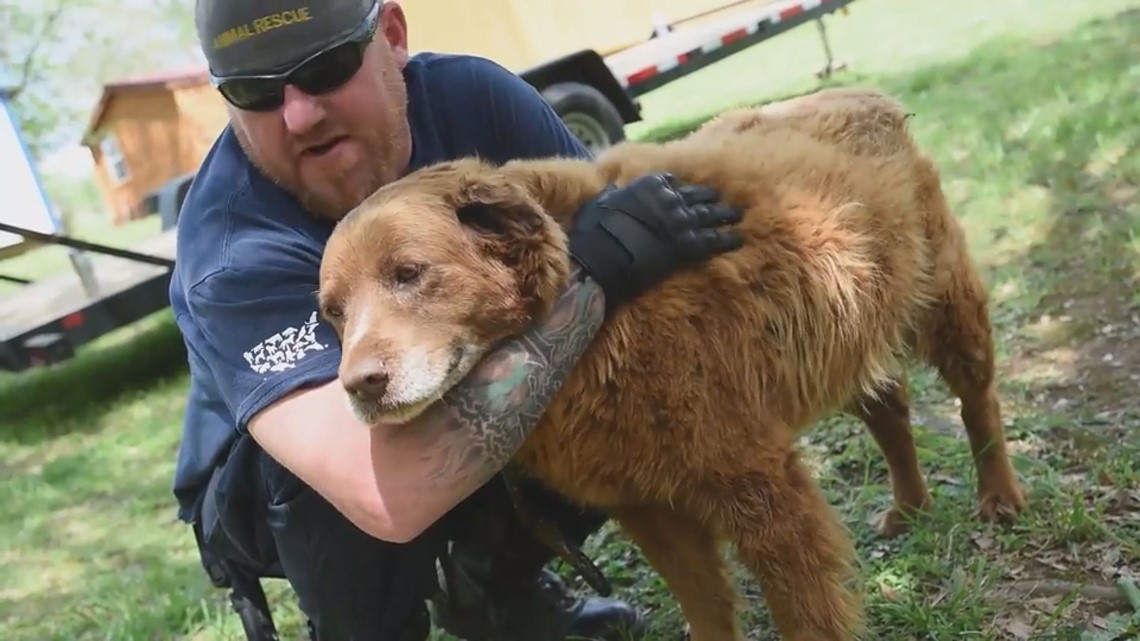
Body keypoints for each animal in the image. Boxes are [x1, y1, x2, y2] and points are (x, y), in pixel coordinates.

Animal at [316, 88, 1030, 638]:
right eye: (333, 313)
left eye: (410, 272)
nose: (359, 387)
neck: (593, 309)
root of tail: (866, 96)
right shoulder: (646, 504)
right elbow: (706, 603)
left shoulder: (760, 482)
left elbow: (806, 612)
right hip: (851, 330)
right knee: (891, 410)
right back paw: (909, 505)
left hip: (945, 306)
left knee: (978, 400)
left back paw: (999, 496)